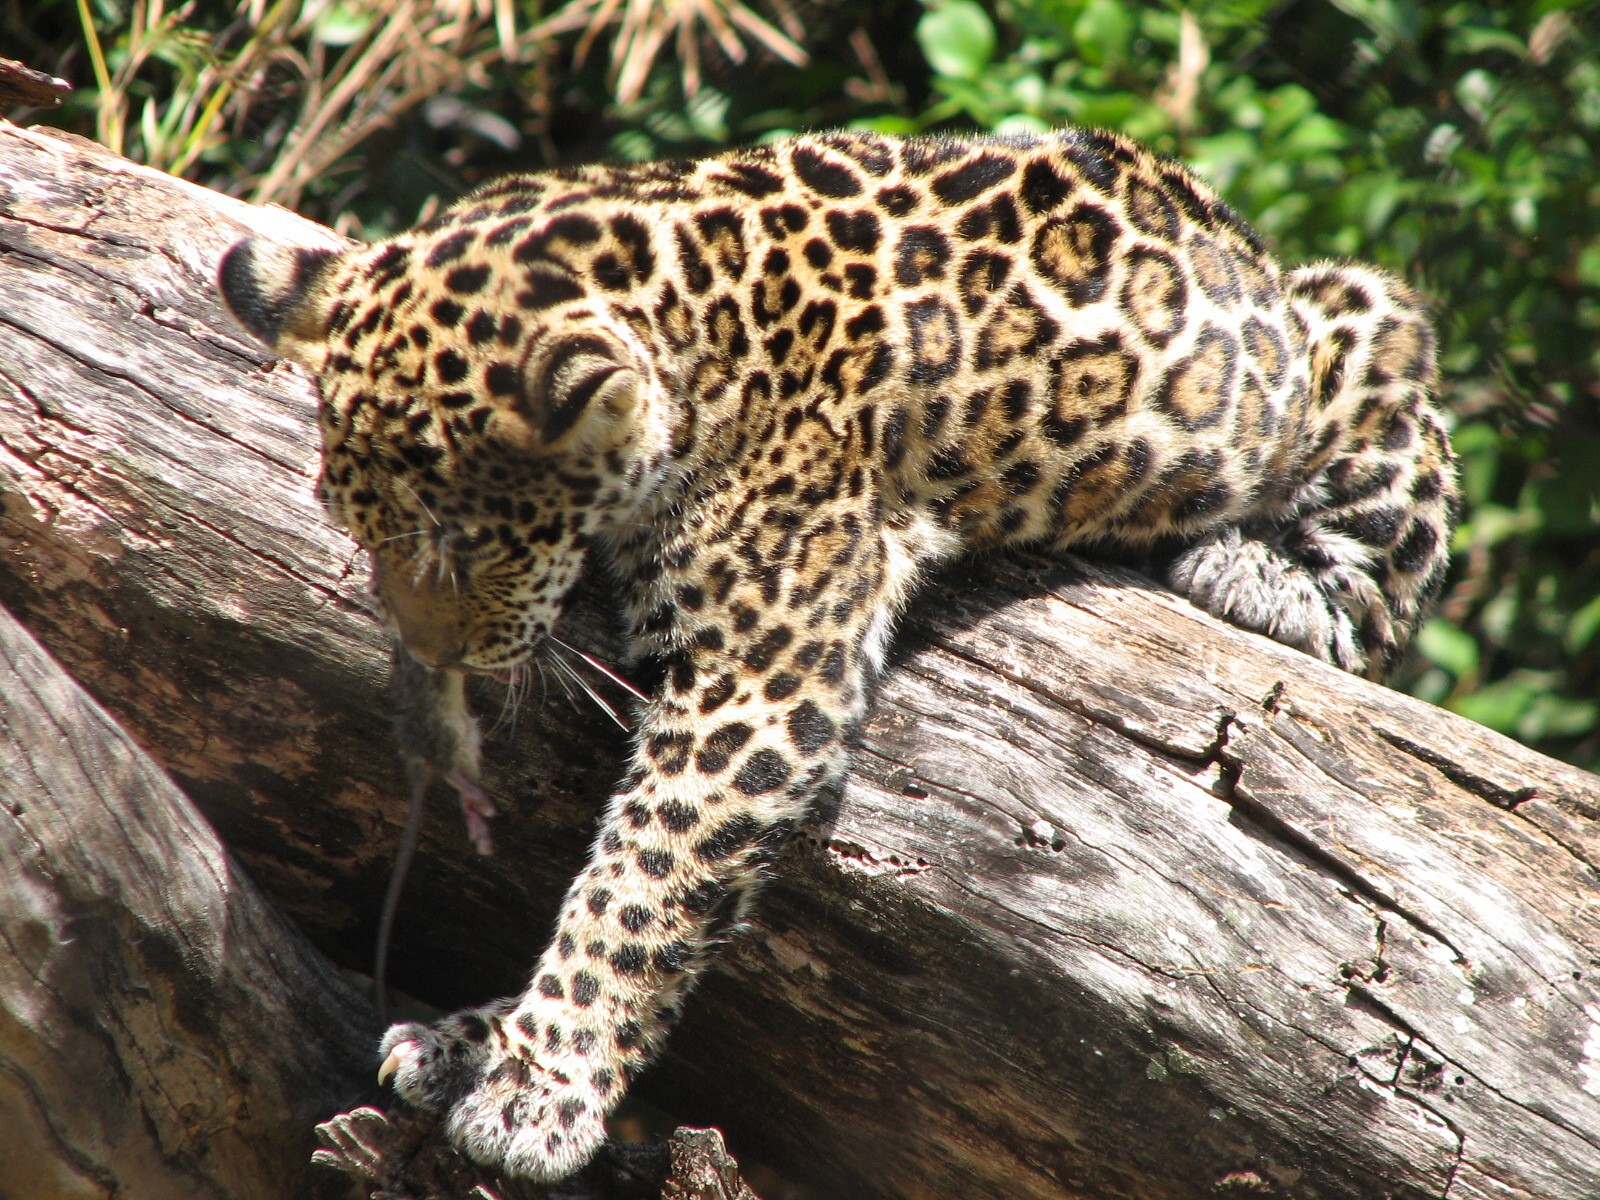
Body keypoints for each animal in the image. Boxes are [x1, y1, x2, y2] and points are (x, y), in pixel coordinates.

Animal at [218, 127, 1457, 1183]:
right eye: (355, 524)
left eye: (464, 544)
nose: (436, 659)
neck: (680, 300)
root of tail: (1248, 248)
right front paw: (477, 1042)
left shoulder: (756, 685)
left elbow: (635, 890)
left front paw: (539, 1086)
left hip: (1354, 338)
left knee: (1399, 512)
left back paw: (1257, 575)